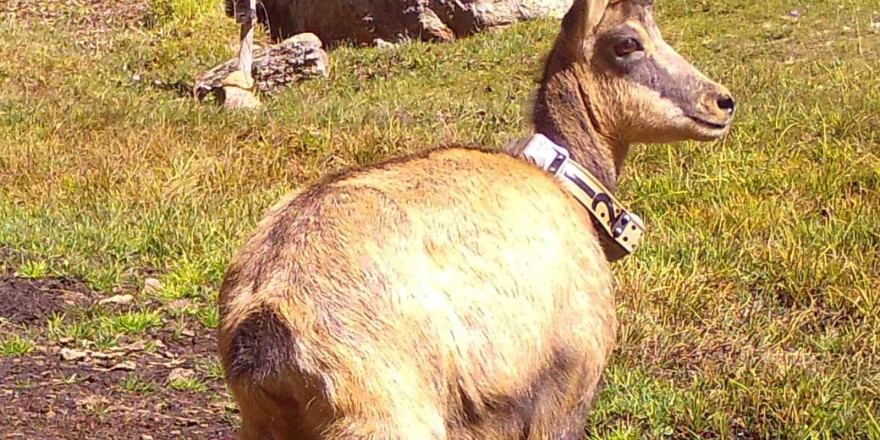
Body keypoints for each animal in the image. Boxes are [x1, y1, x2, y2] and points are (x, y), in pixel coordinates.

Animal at [218, 0, 736, 436]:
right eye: (626, 43)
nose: (722, 102)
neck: (567, 189)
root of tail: (265, 315)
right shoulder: (566, 387)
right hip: (388, 415)